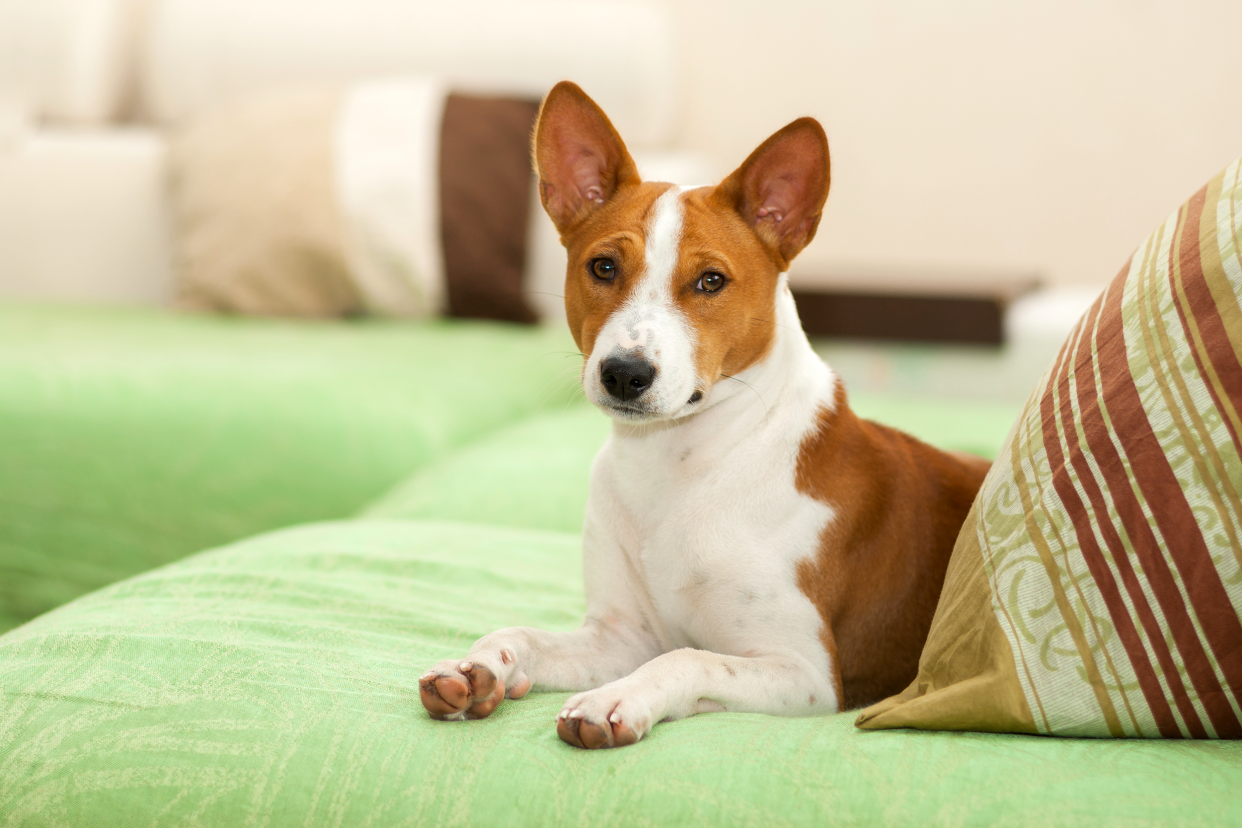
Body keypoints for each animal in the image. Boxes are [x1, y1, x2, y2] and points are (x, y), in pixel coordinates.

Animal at [417, 82, 988, 749]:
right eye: (604, 267)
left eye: (711, 281)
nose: (625, 373)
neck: (676, 467)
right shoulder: (620, 636)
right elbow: (520, 634)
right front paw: (477, 666)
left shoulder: (806, 673)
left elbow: (686, 658)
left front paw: (616, 699)